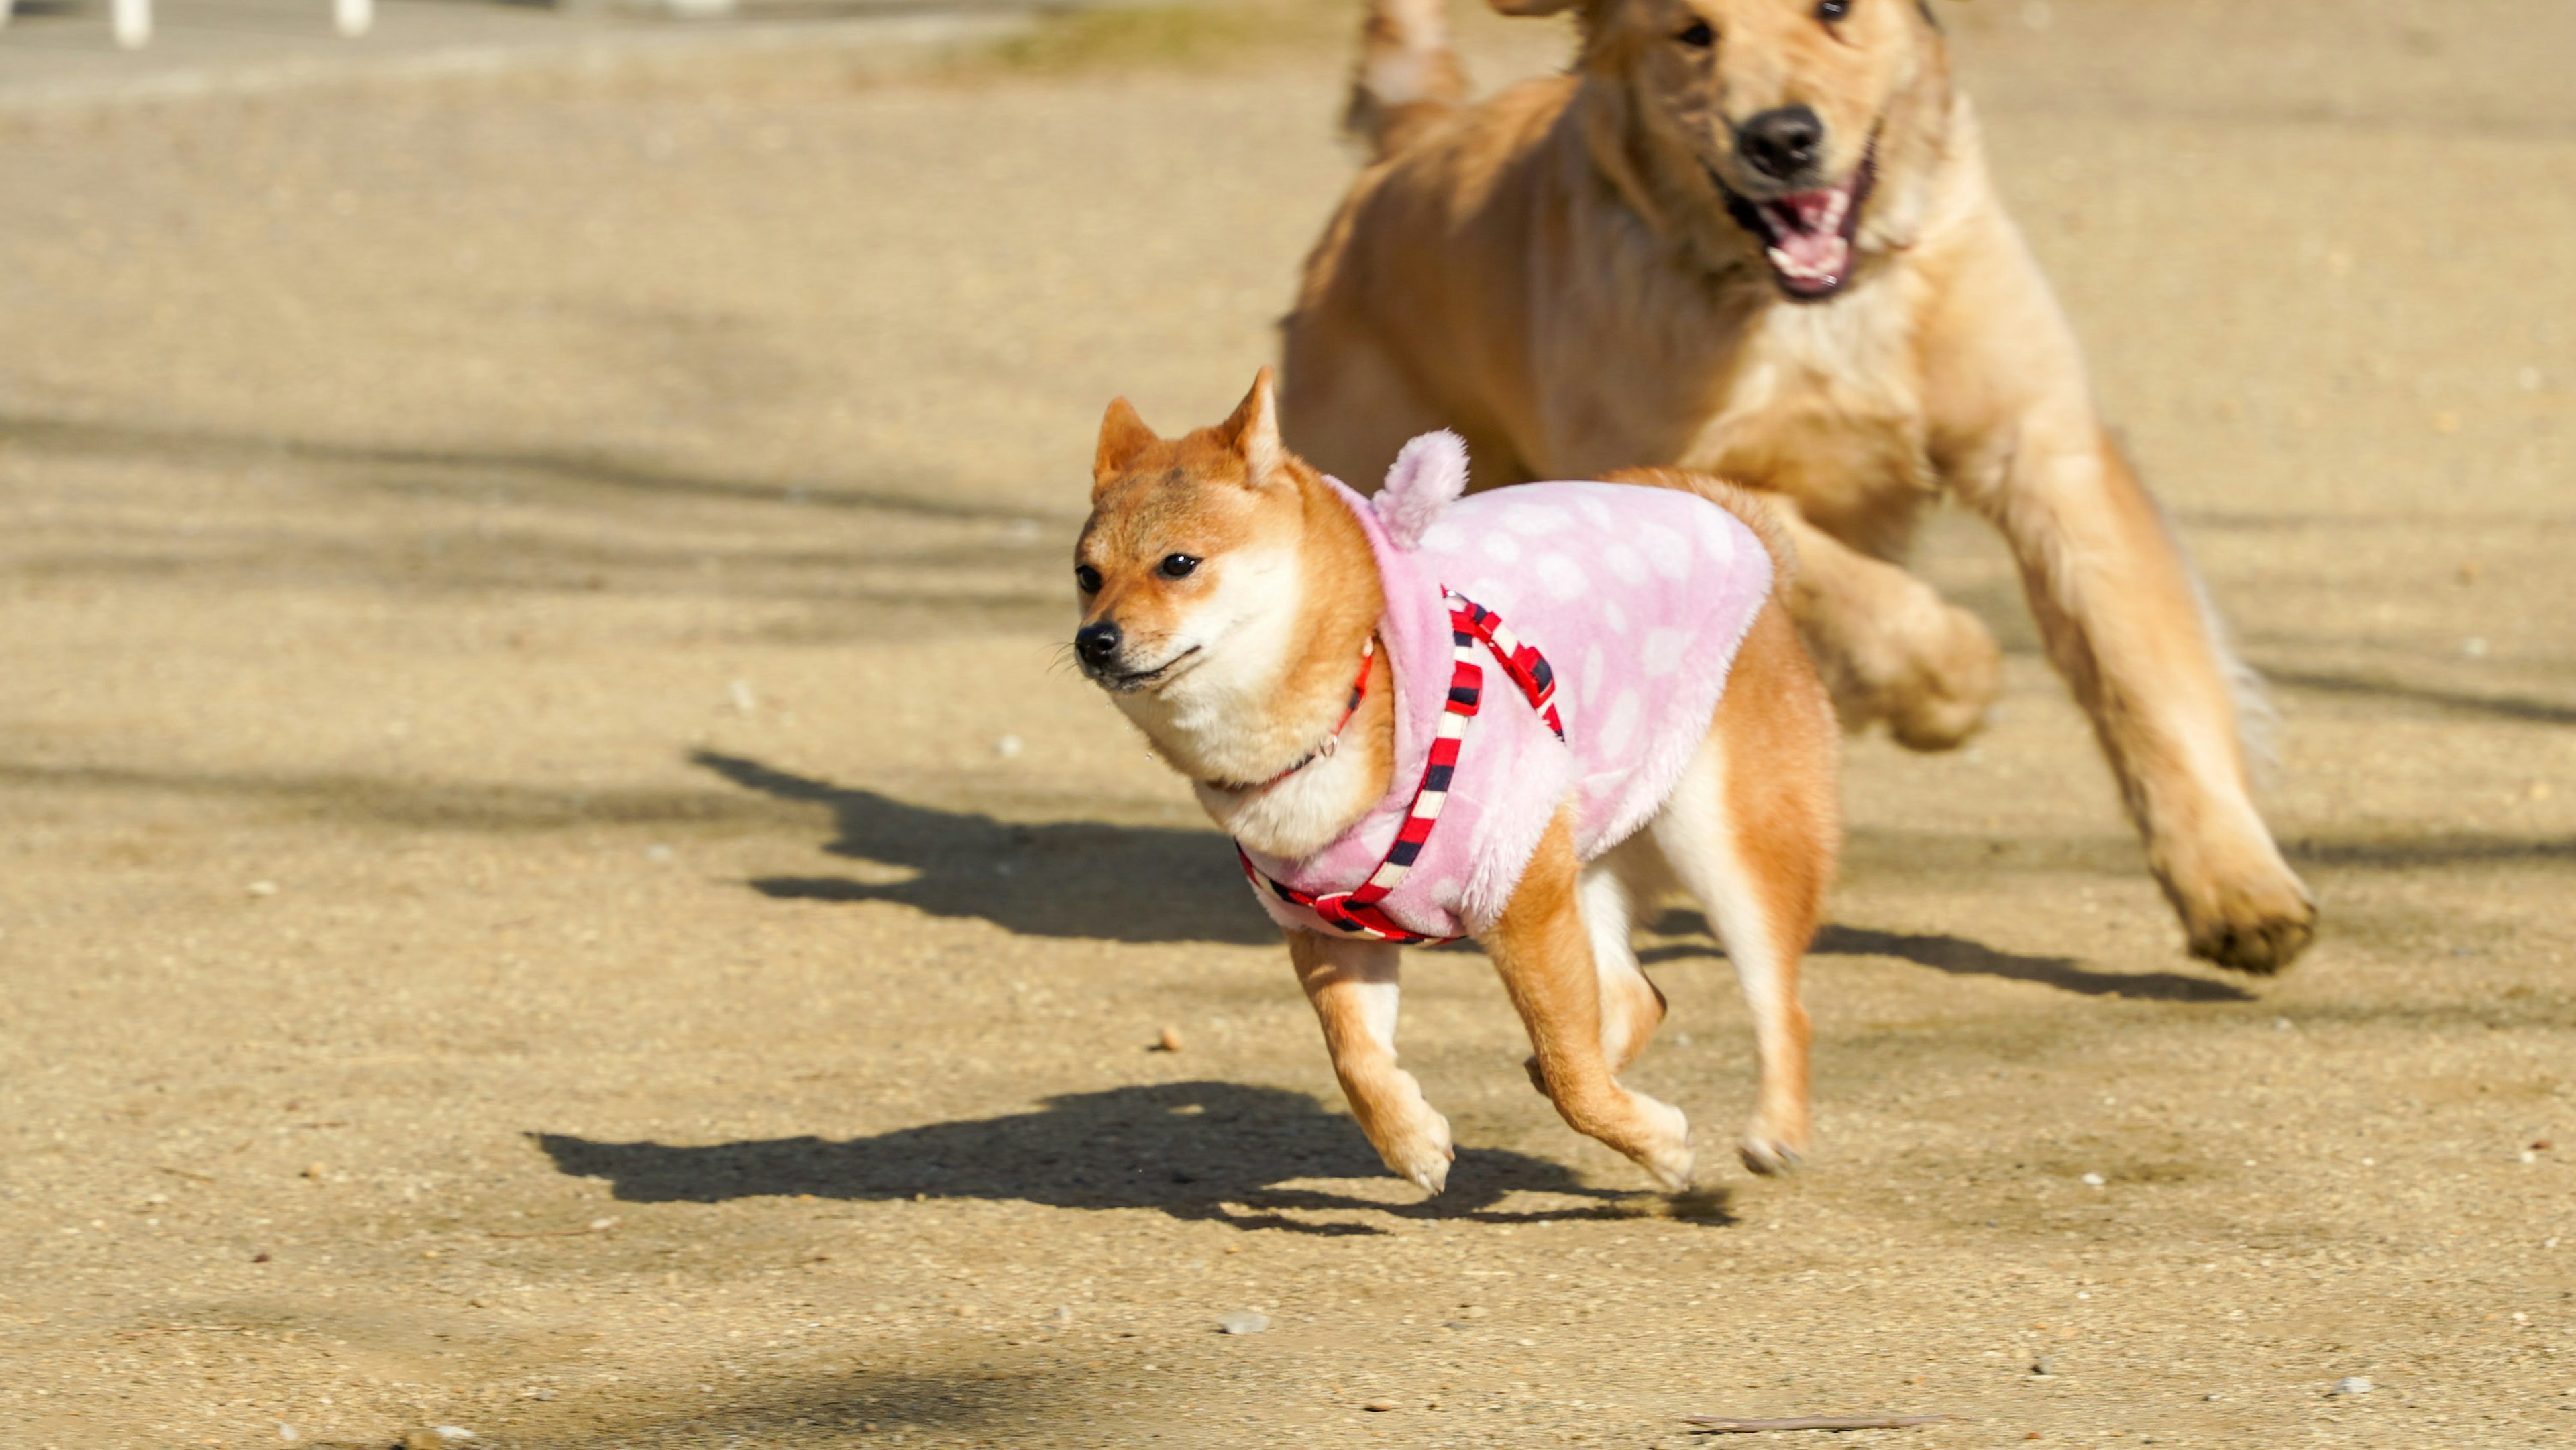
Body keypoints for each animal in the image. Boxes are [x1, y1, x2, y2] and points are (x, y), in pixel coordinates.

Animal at [1077, 370, 1844, 1190]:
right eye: (1087, 576)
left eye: (1177, 564)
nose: (1094, 641)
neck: (1356, 696)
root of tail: (1733, 520)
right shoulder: (1329, 932)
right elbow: (1358, 1062)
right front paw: (1411, 1139)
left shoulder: (1519, 901)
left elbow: (1573, 1079)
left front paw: (1659, 1144)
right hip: (1582, 855)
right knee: (1637, 999)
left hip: (1719, 842)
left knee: (1777, 1002)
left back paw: (1773, 1129)